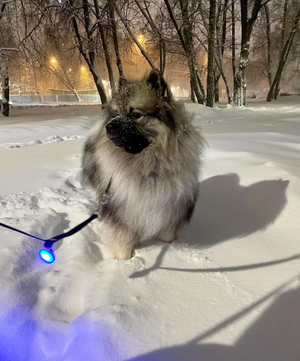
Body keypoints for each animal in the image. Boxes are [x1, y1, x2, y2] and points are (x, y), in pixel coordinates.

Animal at [82, 68, 204, 258]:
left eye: (136, 114)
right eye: (116, 114)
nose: (109, 126)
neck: (149, 167)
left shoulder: (172, 208)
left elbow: (168, 236)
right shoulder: (121, 211)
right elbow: (123, 240)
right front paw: (125, 260)